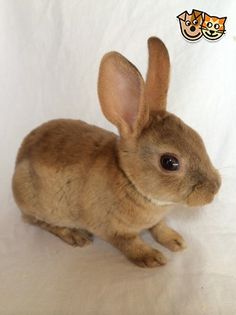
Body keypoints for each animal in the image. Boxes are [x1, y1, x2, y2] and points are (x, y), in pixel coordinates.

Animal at [12, 37, 220, 270]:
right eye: (169, 162)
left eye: (198, 138)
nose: (215, 189)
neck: (129, 179)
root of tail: (18, 163)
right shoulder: (113, 230)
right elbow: (129, 243)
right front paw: (152, 258)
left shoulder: (155, 221)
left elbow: (159, 227)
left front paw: (176, 241)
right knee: (38, 221)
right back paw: (76, 236)